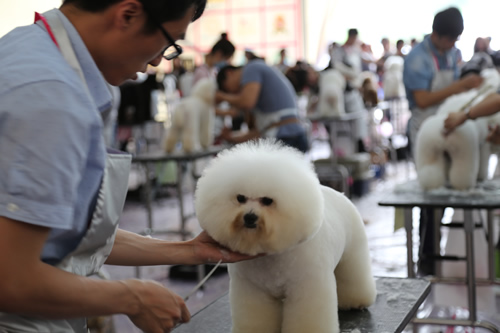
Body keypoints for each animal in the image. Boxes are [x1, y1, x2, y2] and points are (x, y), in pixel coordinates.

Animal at [194, 138, 376, 332]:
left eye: (267, 201)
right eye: (240, 198)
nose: (249, 217)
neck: (270, 257)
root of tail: (339, 193)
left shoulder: (307, 287)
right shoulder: (252, 291)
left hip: (352, 254)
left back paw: (357, 301)